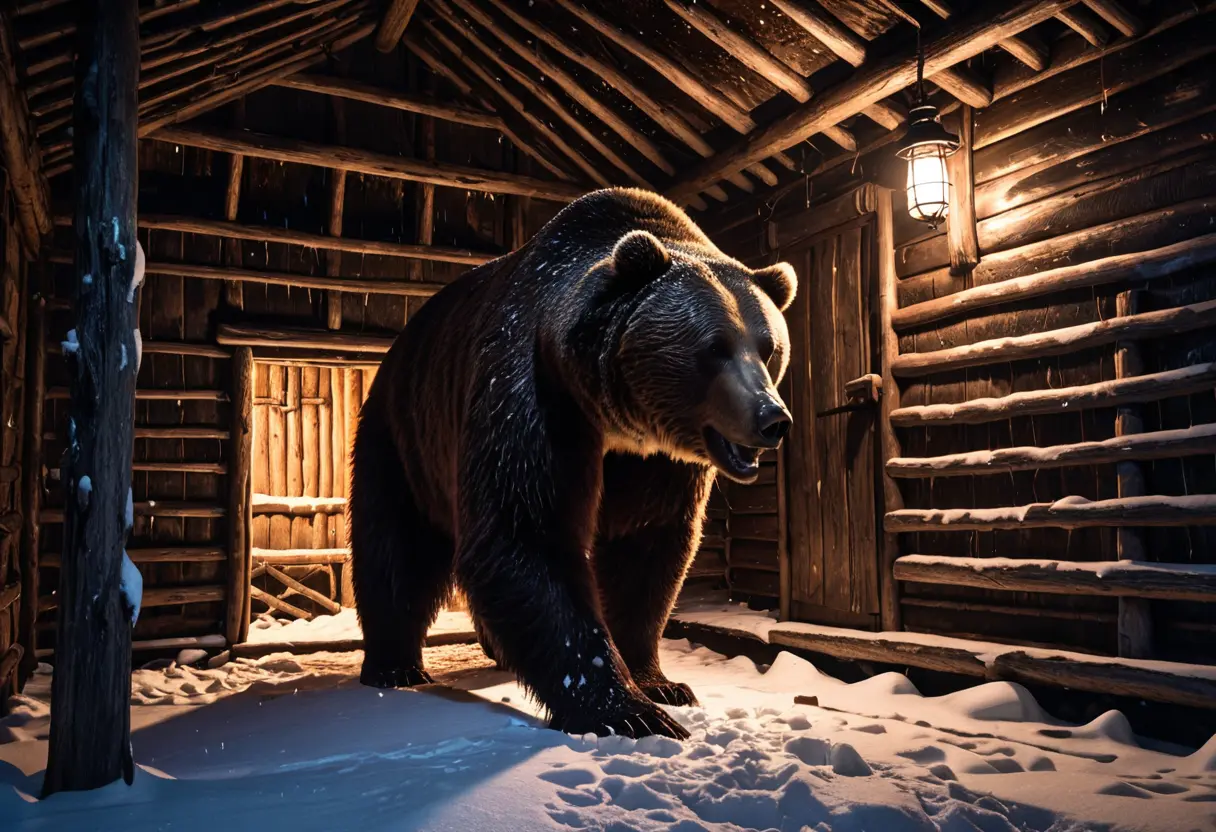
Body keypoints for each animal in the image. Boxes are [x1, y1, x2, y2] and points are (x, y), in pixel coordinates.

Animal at [349, 188, 796, 740]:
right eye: (715, 348)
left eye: (769, 348)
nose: (772, 418)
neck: (615, 419)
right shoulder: (537, 397)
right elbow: (528, 534)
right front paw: (629, 711)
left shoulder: (657, 463)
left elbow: (646, 552)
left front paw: (660, 684)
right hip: (402, 435)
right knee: (395, 548)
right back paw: (395, 667)